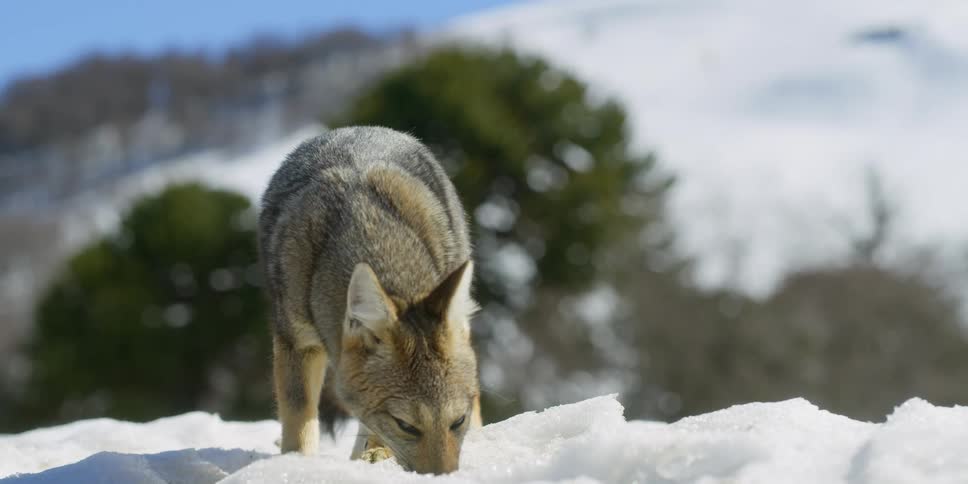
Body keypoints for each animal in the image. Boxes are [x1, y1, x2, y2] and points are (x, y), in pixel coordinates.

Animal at [258, 126, 482, 475]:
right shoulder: (295, 343)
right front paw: (296, 466)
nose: (441, 478)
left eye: (457, 422)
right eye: (406, 426)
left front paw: (375, 454)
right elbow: (300, 429)